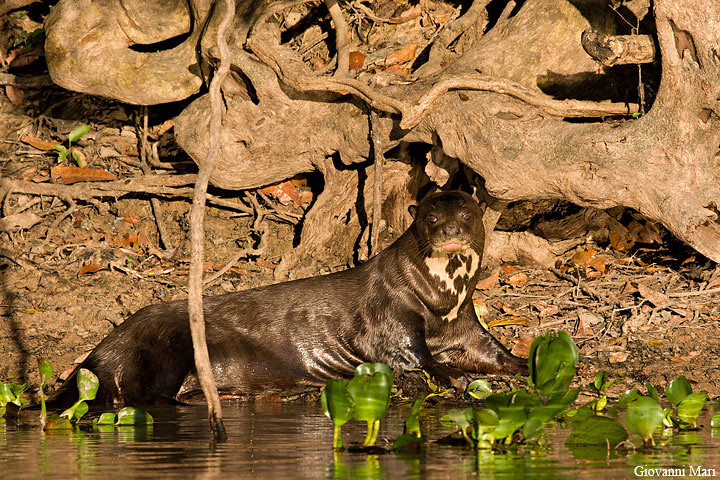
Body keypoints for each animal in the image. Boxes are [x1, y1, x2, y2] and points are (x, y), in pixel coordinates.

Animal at [51, 191, 526, 406]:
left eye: (465, 213)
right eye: (431, 216)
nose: (451, 231)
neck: (441, 301)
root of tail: (99, 353)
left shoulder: (464, 325)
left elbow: (491, 350)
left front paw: (523, 362)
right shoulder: (391, 319)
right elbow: (414, 356)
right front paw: (455, 377)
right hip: (159, 348)